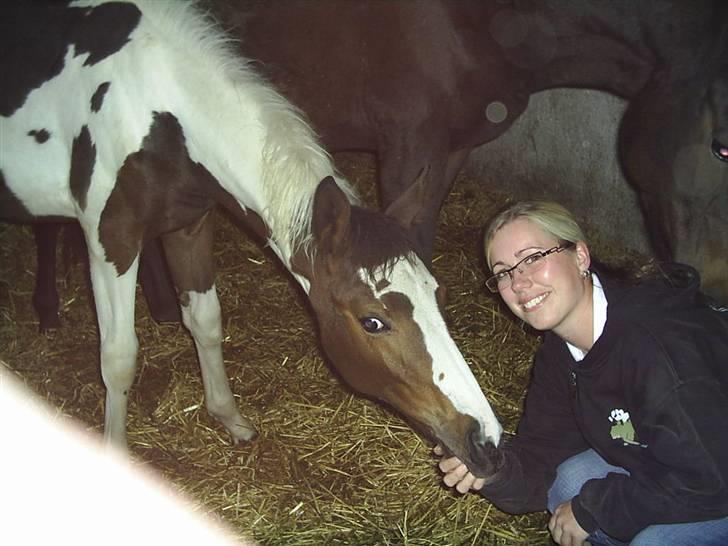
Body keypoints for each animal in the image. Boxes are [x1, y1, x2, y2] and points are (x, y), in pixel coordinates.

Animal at [0, 2, 500, 474]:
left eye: (439, 294)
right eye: (372, 321)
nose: (487, 442)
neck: (152, 104)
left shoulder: (189, 224)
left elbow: (205, 321)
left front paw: (230, 418)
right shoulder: (111, 239)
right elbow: (119, 356)